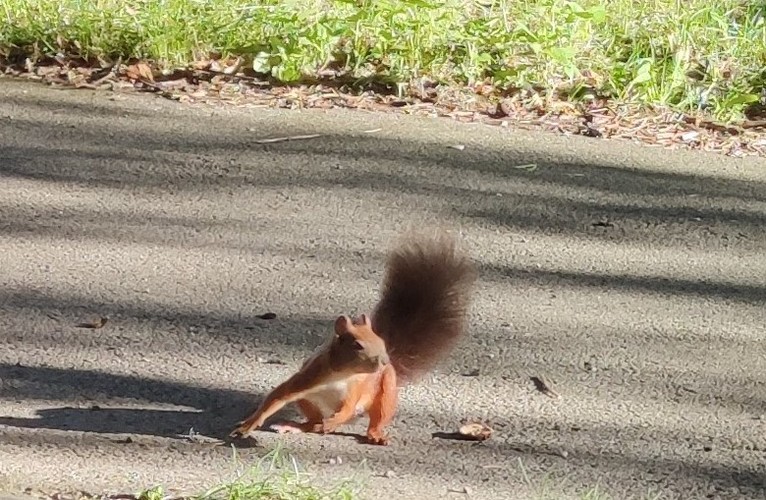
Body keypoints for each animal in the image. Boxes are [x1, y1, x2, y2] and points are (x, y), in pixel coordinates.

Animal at [231, 230, 476, 446]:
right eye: (357, 345)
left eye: (383, 343)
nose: (383, 361)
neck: (342, 375)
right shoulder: (311, 376)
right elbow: (279, 396)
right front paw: (249, 424)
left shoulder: (355, 389)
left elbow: (347, 408)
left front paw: (334, 422)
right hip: (307, 401)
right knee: (312, 421)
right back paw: (297, 426)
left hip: (386, 390)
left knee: (375, 417)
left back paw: (369, 433)